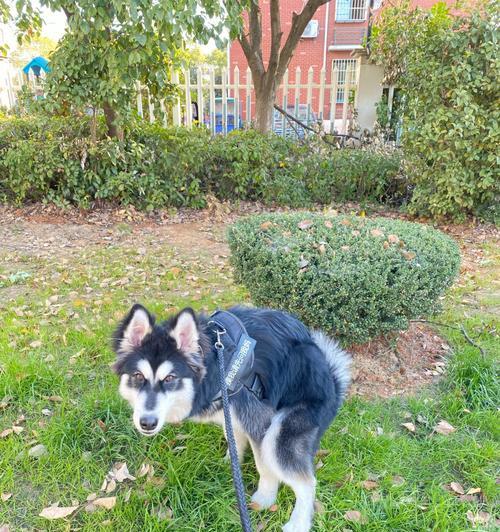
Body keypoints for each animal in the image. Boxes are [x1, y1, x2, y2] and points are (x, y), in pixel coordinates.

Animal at [113, 304, 350, 532]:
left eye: (170, 378)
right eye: (137, 376)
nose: (147, 422)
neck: (215, 363)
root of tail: (333, 383)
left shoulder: (258, 418)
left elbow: (264, 466)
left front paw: (265, 499)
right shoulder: (231, 413)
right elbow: (233, 438)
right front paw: (231, 461)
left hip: (281, 433)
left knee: (307, 481)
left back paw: (298, 523)